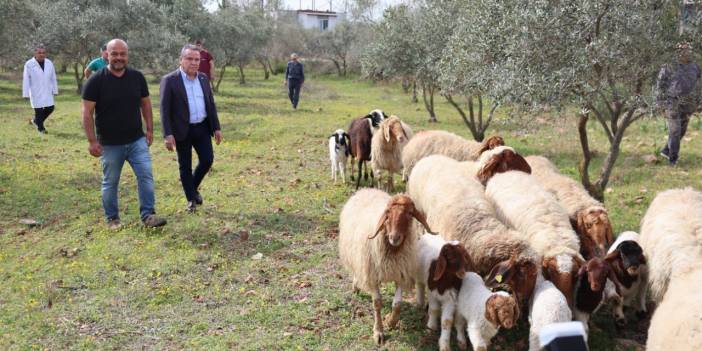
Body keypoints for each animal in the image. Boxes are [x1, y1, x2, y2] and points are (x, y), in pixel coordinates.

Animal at [340, 188, 434, 346]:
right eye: (388, 213)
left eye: (410, 213)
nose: (394, 238)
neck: (393, 251)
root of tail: (366, 189)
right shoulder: (372, 275)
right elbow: (377, 303)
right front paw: (378, 332)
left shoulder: (401, 274)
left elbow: (397, 304)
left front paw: (391, 322)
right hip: (356, 254)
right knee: (357, 271)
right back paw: (356, 286)